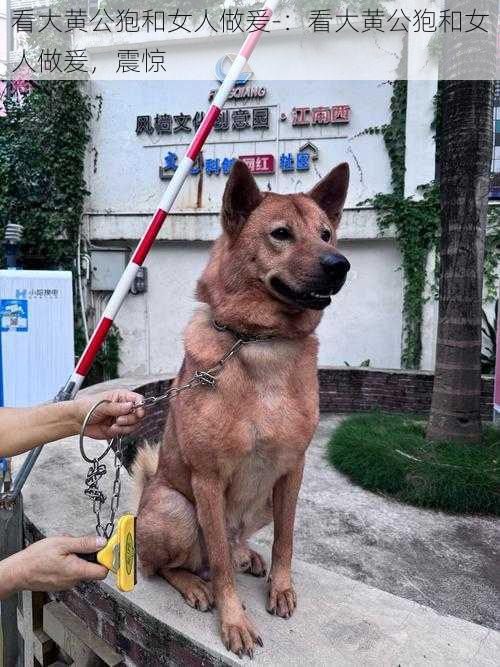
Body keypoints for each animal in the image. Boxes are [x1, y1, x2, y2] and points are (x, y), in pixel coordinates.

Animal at [135, 160, 350, 656]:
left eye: (326, 234)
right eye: (281, 234)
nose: (340, 264)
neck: (259, 343)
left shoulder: (292, 470)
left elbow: (285, 539)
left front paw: (281, 588)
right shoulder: (208, 479)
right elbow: (219, 568)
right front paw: (234, 620)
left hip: (263, 500)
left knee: (229, 548)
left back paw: (245, 554)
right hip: (178, 508)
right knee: (171, 564)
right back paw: (196, 585)